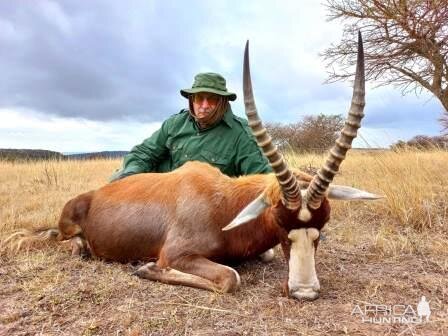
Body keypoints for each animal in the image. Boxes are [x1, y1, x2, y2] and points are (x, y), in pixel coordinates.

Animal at [14, 32, 382, 300]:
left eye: (323, 225)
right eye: (280, 221)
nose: (304, 292)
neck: (225, 204)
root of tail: (91, 196)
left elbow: (261, 257)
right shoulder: (178, 255)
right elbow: (231, 278)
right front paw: (146, 269)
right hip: (70, 231)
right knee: (66, 242)